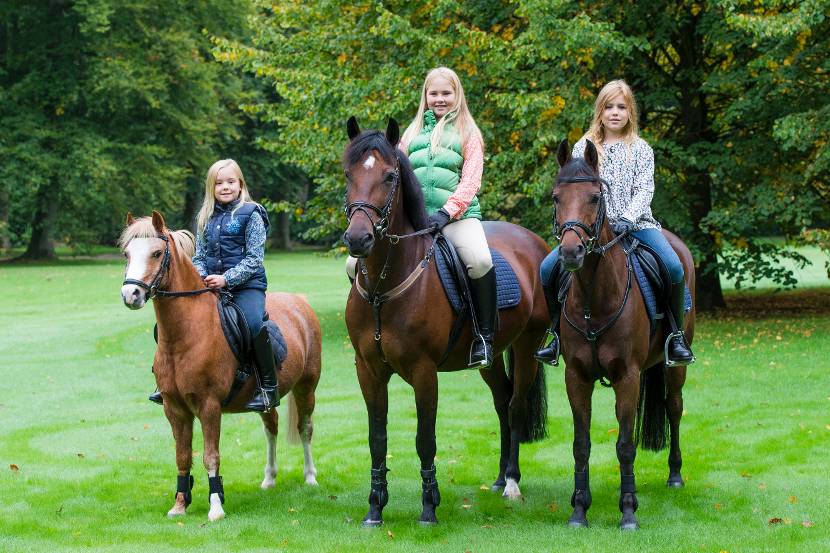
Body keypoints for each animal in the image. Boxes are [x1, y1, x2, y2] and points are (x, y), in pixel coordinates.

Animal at [120, 209, 322, 520]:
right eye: (127, 253)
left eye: (156, 253)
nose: (131, 295)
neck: (187, 334)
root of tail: (300, 302)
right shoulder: (174, 409)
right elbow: (182, 456)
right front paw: (180, 504)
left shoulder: (209, 406)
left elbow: (210, 456)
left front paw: (215, 507)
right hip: (266, 401)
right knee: (271, 428)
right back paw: (269, 479)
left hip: (306, 387)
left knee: (305, 428)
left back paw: (310, 477)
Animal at [342, 117, 552, 528]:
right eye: (348, 174)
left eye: (389, 176)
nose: (358, 239)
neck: (383, 287)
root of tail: (533, 242)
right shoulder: (367, 370)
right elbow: (378, 439)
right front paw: (375, 507)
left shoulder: (424, 372)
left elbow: (425, 439)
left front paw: (428, 506)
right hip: (491, 356)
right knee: (502, 401)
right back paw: (499, 479)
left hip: (527, 348)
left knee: (516, 406)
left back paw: (512, 483)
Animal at [556, 139, 700, 532]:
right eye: (556, 197)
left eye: (595, 197)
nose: (571, 252)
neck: (594, 298)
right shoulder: (576, 377)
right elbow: (581, 444)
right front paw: (579, 509)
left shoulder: (628, 375)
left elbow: (624, 446)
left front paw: (628, 511)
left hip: (675, 368)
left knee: (674, 408)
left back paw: (675, 475)